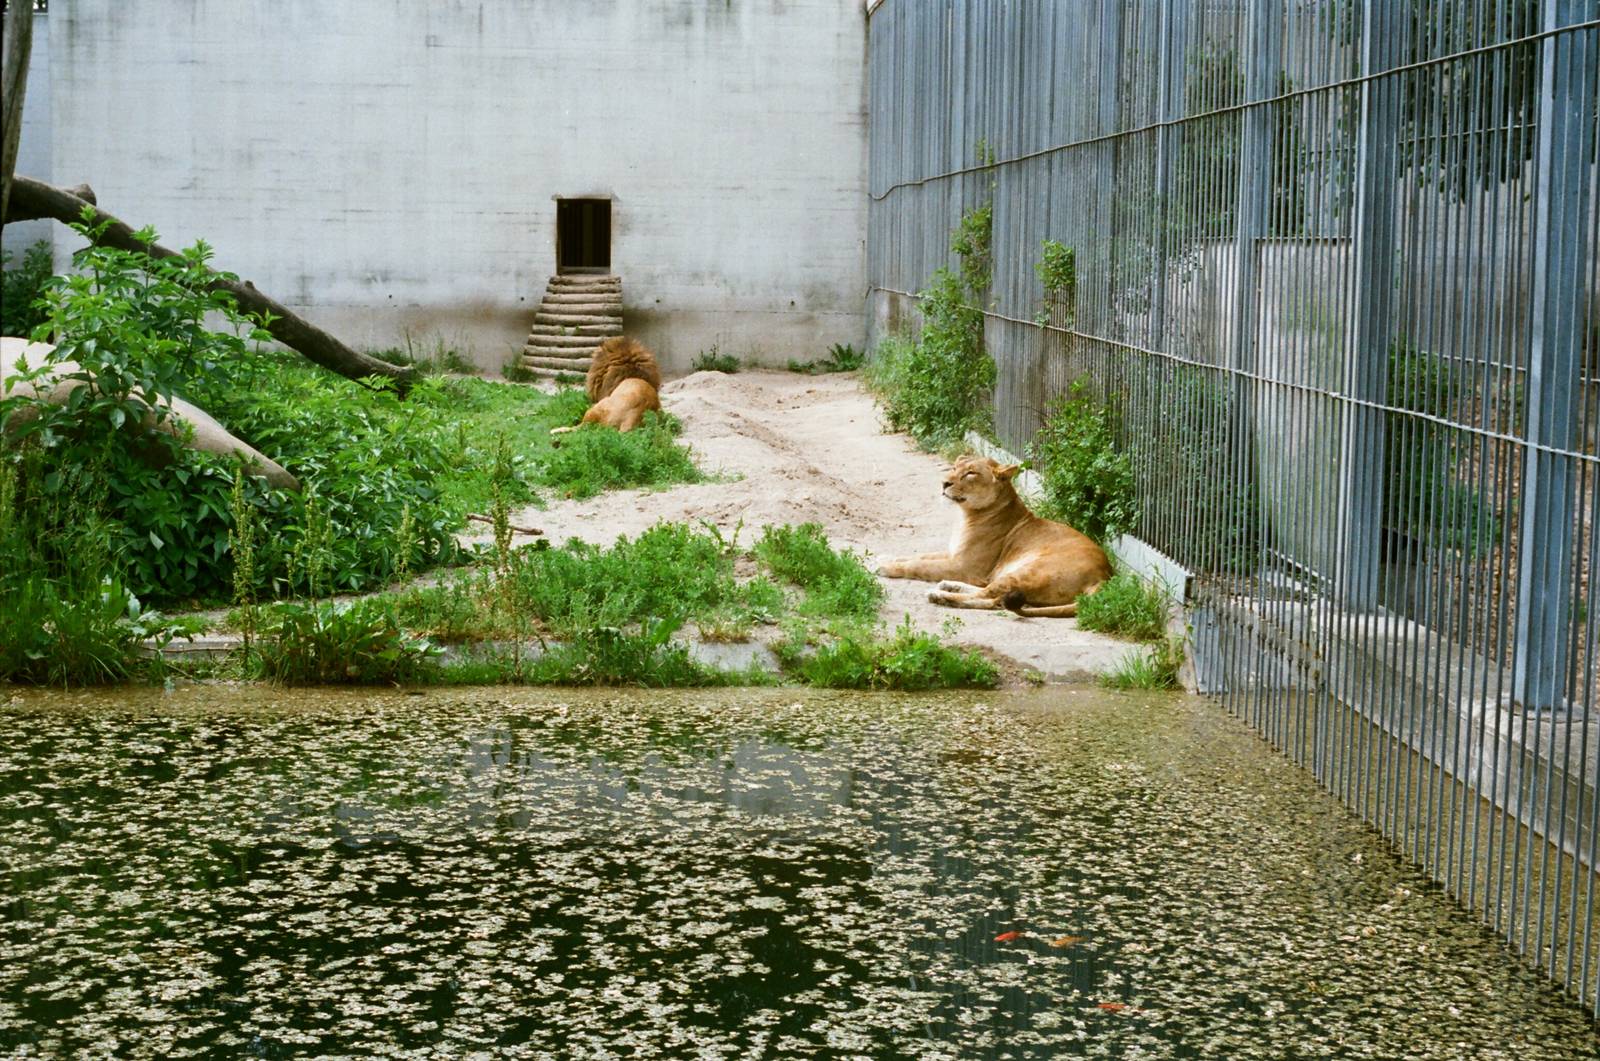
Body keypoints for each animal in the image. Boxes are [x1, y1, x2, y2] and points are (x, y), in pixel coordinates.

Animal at [876, 455, 1112, 618]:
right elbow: (919, 556)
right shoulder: (954, 555)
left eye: (970, 473)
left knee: (988, 594)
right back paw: (948, 587)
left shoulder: (964, 566)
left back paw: (941, 595)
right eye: (954, 468)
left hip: (1028, 571)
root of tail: (1105, 576)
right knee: (994, 599)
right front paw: (885, 558)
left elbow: (918, 565)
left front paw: (884, 567)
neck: (965, 515)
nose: (944, 483)